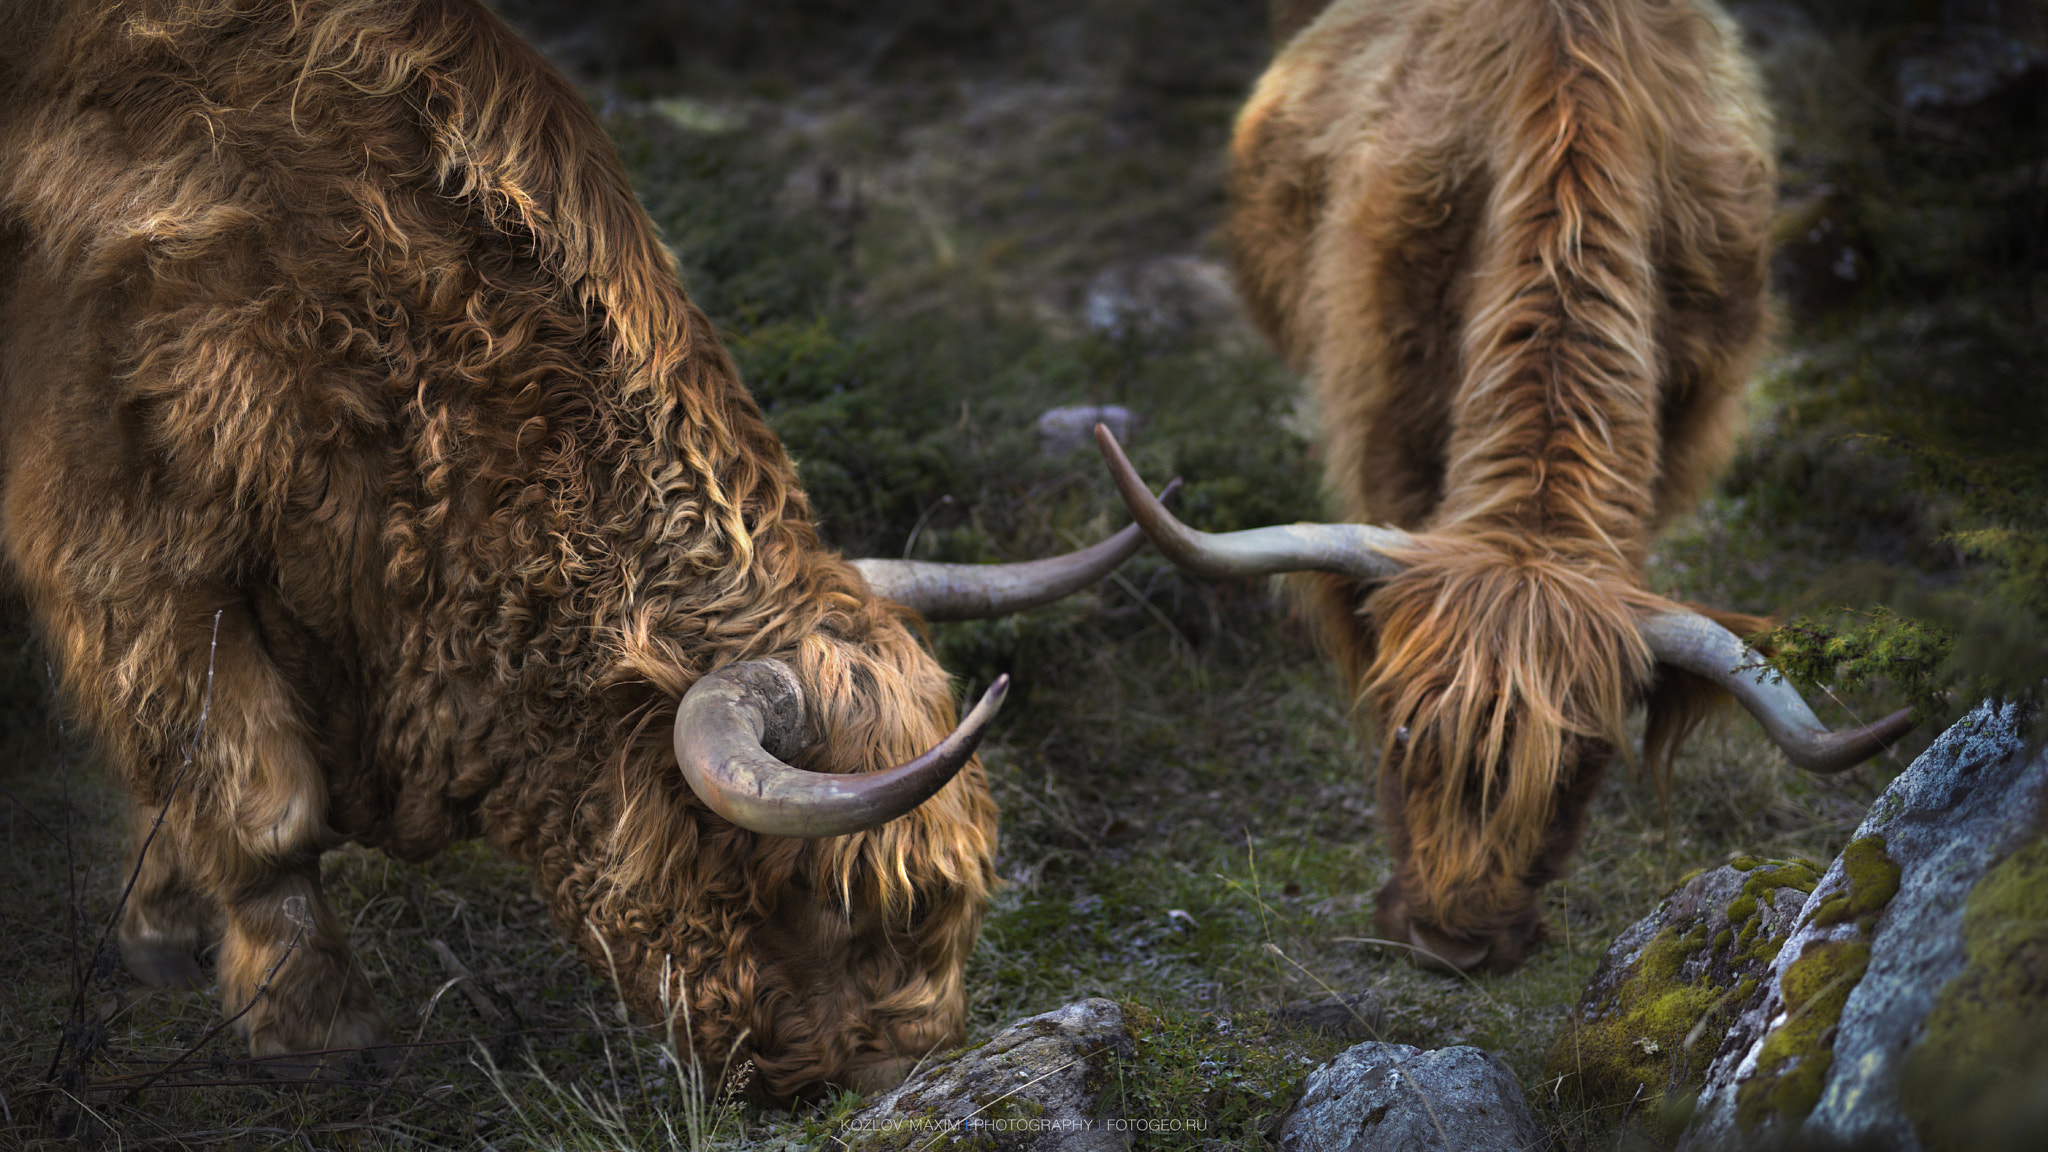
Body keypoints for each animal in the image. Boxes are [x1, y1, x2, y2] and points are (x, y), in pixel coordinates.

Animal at [0, 0, 1155, 1090]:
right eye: (831, 895)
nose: (901, 1065)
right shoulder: (124, 535)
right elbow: (257, 802)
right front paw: (310, 1025)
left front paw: (165, 926)